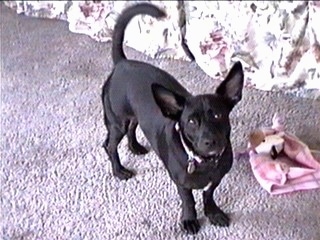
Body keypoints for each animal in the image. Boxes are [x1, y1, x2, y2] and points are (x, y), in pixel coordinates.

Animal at [101, 3, 244, 234]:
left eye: (217, 114)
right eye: (191, 122)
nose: (210, 141)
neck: (203, 162)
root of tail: (121, 63)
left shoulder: (217, 178)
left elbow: (209, 194)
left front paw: (213, 212)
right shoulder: (181, 183)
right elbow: (189, 200)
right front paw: (189, 220)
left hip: (134, 115)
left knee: (133, 127)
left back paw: (135, 147)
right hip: (117, 121)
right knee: (110, 145)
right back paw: (119, 170)